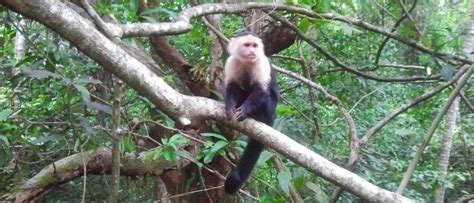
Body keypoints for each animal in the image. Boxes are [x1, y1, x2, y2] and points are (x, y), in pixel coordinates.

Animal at [224, 31, 280, 193]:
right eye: (247, 45)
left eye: (254, 45)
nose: (252, 51)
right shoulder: (231, 61)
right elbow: (231, 86)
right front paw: (229, 108)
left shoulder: (262, 63)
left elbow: (261, 90)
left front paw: (244, 111)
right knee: (240, 88)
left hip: (270, 111)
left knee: (265, 95)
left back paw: (255, 115)